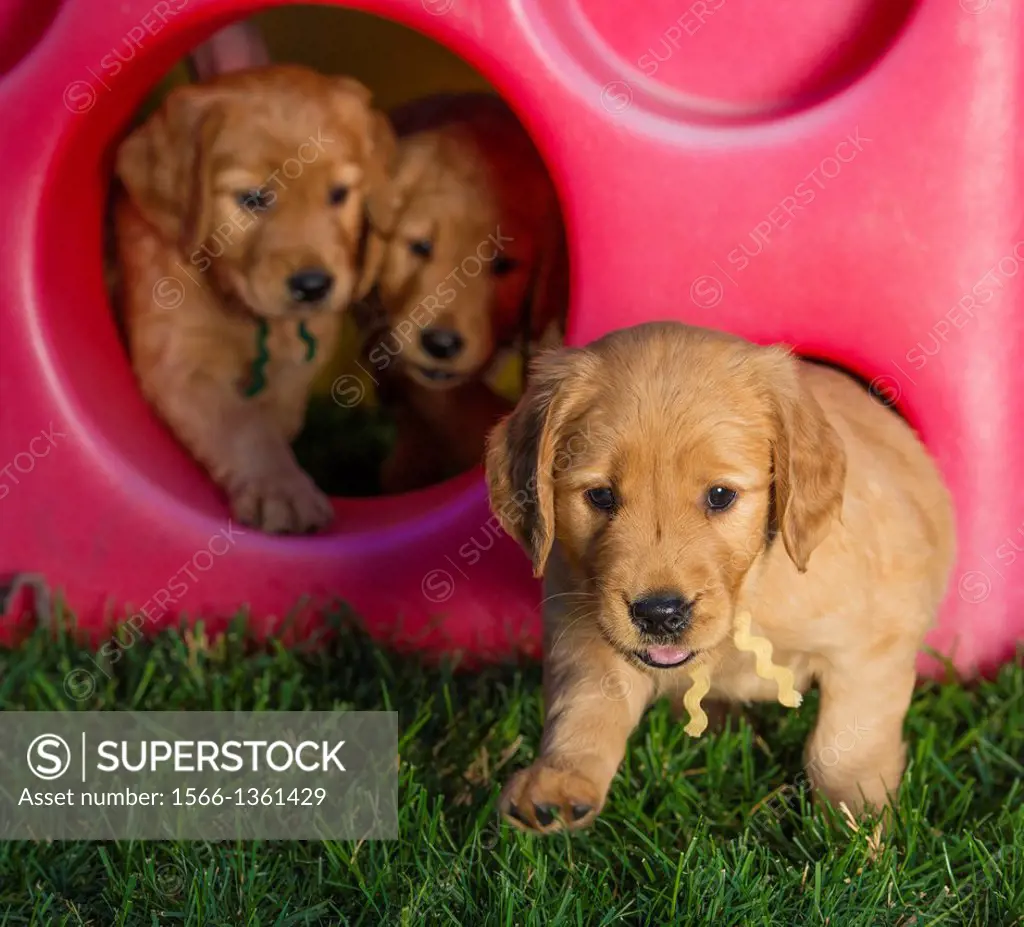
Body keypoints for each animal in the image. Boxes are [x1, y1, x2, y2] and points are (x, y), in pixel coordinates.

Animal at [115, 65, 395, 532]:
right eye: (253, 198)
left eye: (339, 194)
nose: (313, 286)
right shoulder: (179, 360)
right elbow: (244, 428)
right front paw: (281, 490)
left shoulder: (304, 350)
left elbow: (278, 409)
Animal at [483, 319, 954, 831]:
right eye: (601, 496)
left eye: (721, 495)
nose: (659, 613)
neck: (745, 598)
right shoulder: (583, 620)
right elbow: (586, 702)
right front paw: (559, 782)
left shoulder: (874, 640)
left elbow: (845, 743)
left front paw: (859, 819)